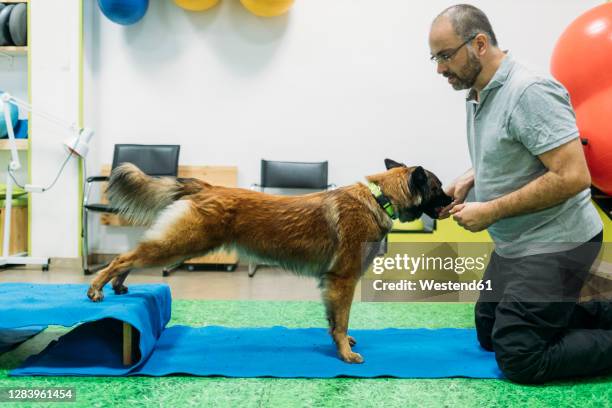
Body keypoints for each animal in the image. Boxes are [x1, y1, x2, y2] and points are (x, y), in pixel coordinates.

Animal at [86, 159, 452, 364]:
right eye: (438, 187)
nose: (453, 199)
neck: (379, 197)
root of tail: (207, 186)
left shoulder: (333, 283)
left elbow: (334, 321)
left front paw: (341, 344)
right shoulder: (343, 280)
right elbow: (343, 320)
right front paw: (345, 354)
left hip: (178, 245)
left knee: (130, 258)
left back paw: (118, 285)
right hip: (179, 245)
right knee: (123, 257)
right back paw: (96, 288)